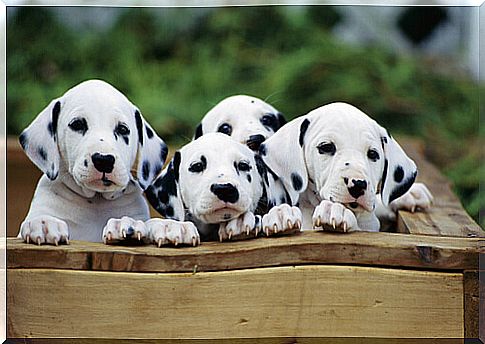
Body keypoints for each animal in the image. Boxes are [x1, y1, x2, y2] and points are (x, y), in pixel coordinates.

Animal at [18, 79, 168, 245]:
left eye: (122, 129)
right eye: (77, 124)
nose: (104, 159)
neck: (96, 201)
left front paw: (130, 224)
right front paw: (43, 223)